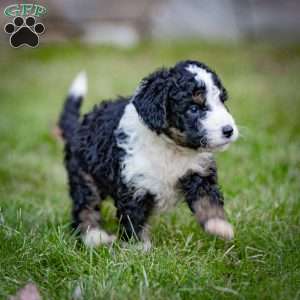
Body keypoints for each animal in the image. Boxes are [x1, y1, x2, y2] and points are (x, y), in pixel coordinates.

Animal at [58, 59, 239, 250]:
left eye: (222, 100)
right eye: (193, 108)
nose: (228, 130)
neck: (171, 148)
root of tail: (76, 128)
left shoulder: (198, 173)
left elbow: (207, 200)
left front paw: (219, 225)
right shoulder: (134, 185)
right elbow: (135, 220)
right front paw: (138, 248)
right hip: (83, 176)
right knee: (85, 207)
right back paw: (94, 236)